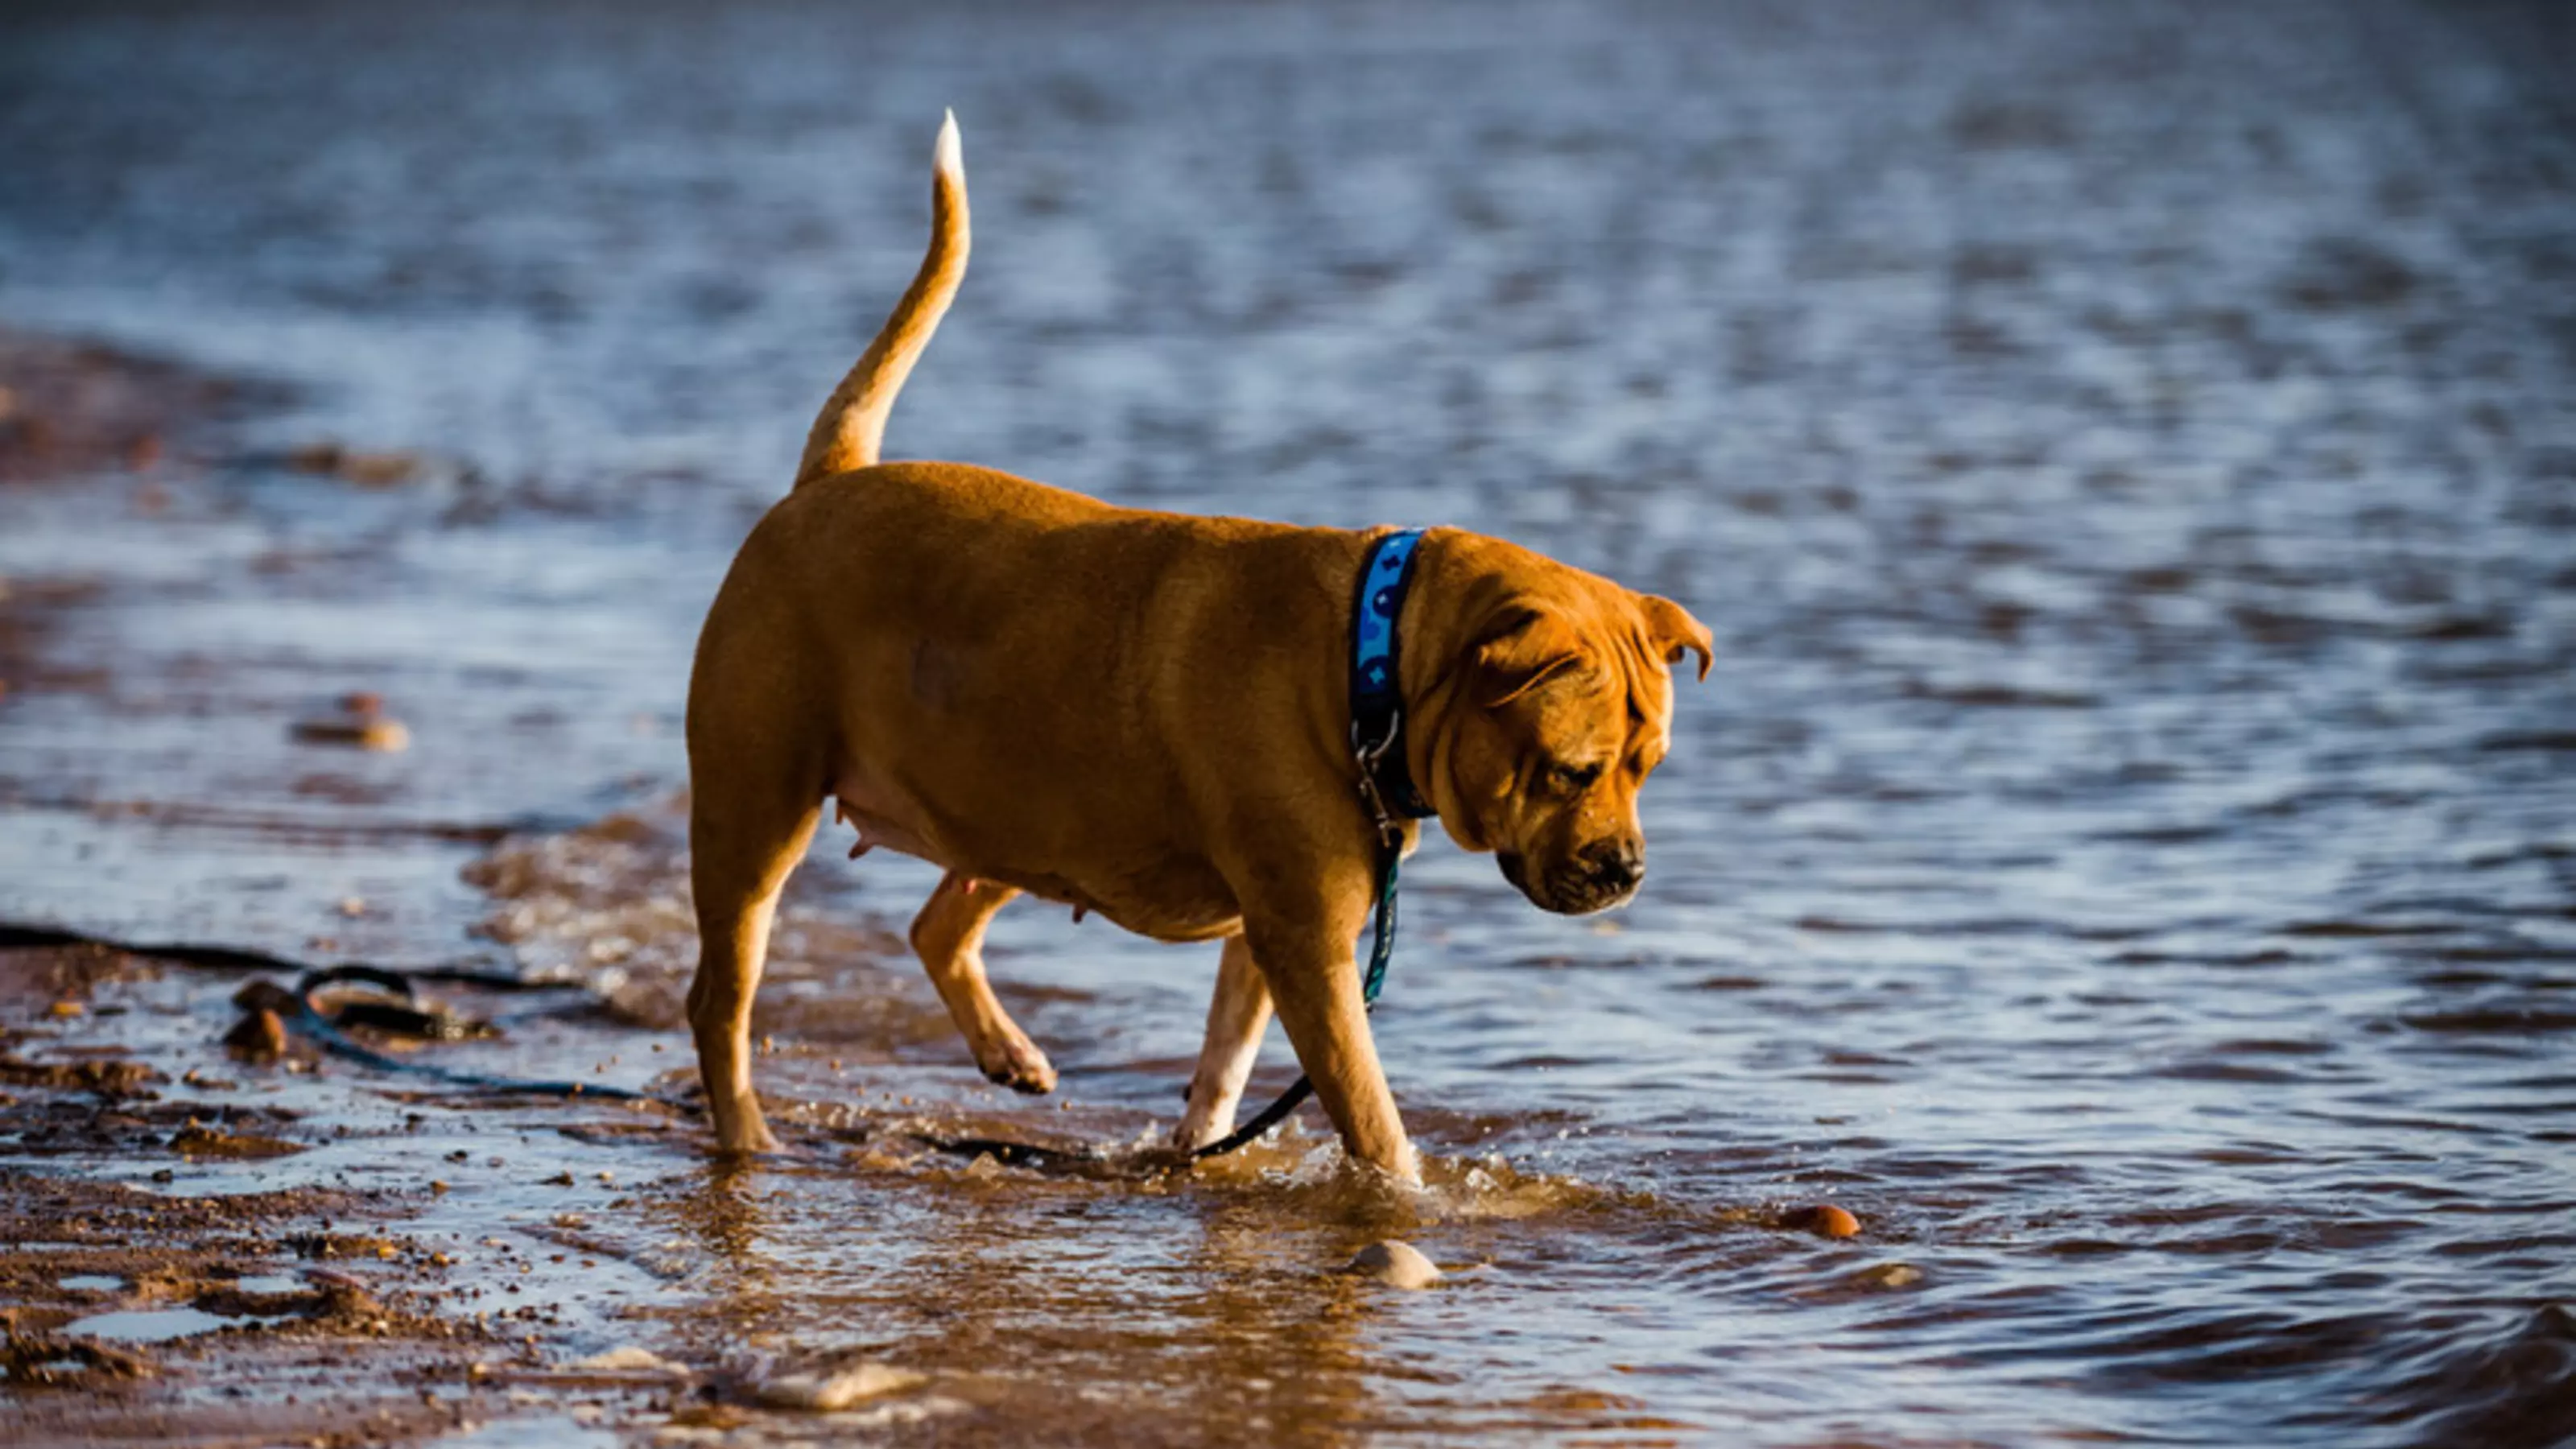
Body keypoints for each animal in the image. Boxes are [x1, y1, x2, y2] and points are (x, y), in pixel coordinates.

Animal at [679, 109, 1710, 1175]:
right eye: (1570, 770)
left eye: (1647, 769)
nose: (1627, 872)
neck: (1372, 659)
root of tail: (828, 479)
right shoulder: (1308, 947)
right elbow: (1371, 1115)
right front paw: (1406, 1195)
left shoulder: (1265, 937)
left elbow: (1223, 1064)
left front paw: (1199, 1149)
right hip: (758, 817)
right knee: (721, 997)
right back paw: (746, 1134)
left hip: (1023, 806)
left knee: (937, 924)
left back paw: (1006, 1053)